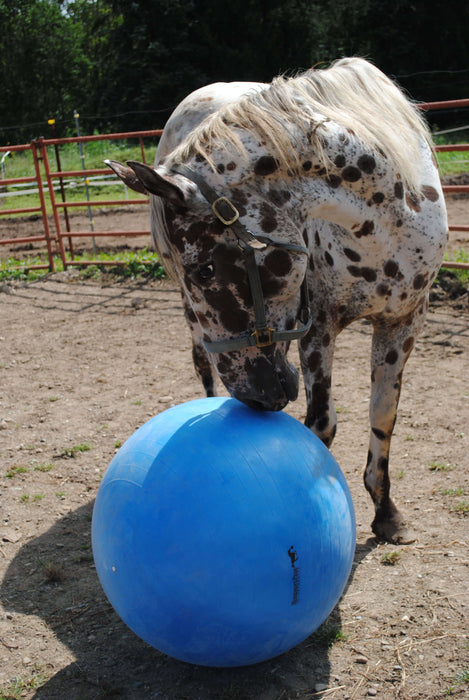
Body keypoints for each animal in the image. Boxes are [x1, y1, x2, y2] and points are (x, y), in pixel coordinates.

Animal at [107, 57, 448, 544]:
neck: (387, 218)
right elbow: (321, 423)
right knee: (202, 364)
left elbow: (383, 416)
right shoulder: (317, 327)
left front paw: (387, 515)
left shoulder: (403, 321)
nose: (252, 397)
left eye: (205, 269)